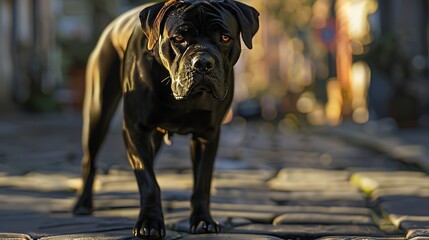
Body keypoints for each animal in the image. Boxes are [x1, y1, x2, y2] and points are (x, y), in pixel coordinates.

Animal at [72, 0, 258, 239]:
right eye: (178, 38)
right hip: (98, 110)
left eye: (225, 38)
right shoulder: (136, 128)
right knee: (90, 159)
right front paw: (149, 222)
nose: (203, 62)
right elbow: (148, 179)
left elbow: (202, 182)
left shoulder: (207, 134)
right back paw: (82, 204)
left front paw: (203, 220)